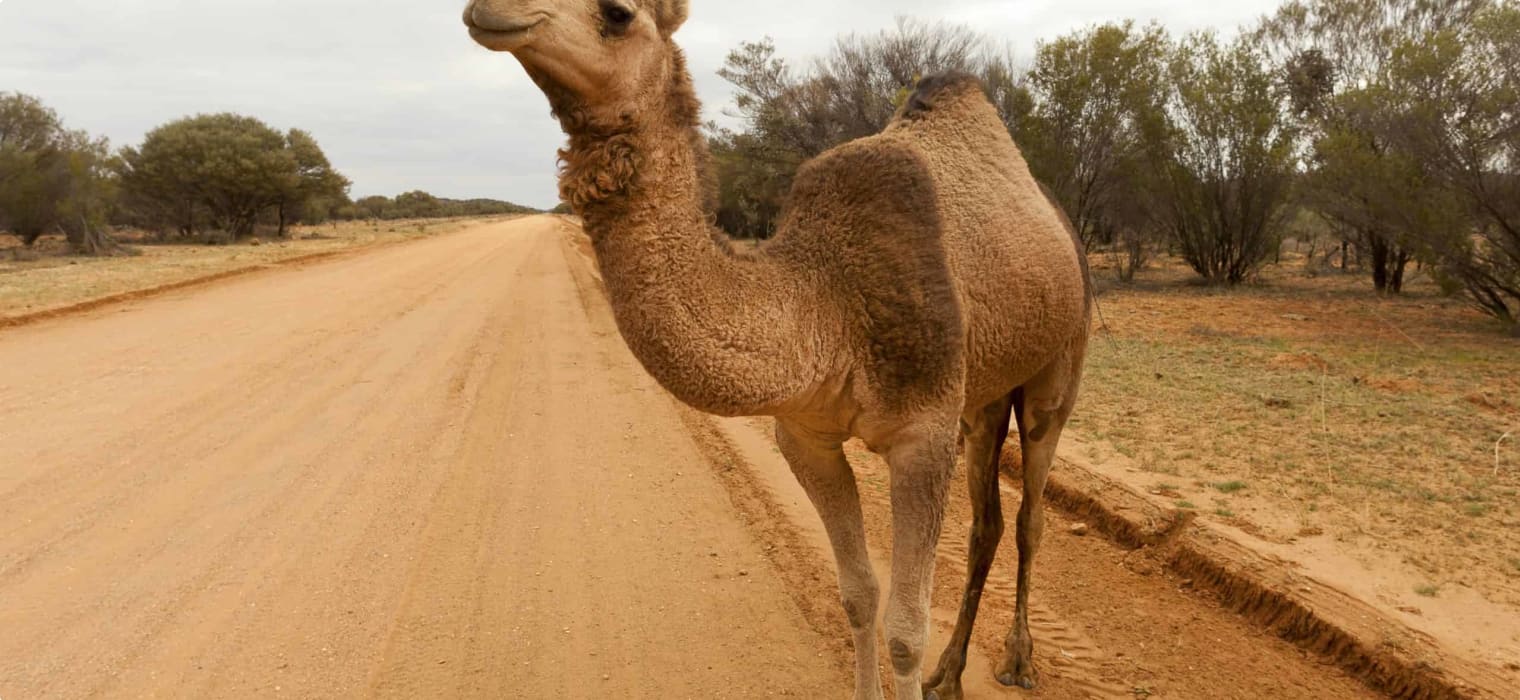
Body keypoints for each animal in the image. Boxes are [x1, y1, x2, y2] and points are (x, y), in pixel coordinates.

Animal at [462, 2, 1094, 695]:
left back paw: (1017, 660)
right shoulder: (805, 434)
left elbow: (906, 631)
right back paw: (951, 673)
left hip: (1059, 363)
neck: (825, 302)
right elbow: (858, 595)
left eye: (618, 14)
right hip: (983, 393)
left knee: (1031, 512)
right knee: (988, 521)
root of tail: (1064, 229)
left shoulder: (923, 433)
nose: (489, 11)